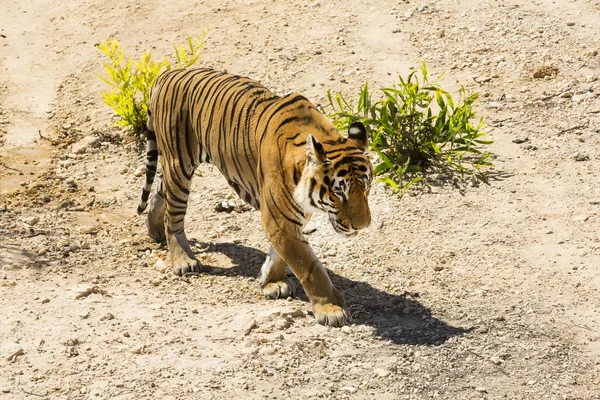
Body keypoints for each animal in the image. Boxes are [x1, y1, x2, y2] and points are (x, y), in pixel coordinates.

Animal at [138, 67, 372, 326]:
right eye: (339, 191)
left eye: (366, 187)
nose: (363, 226)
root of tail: (166, 73)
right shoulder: (278, 218)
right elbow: (309, 266)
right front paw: (331, 309)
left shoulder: (289, 217)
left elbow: (280, 254)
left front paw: (272, 282)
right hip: (179, 163)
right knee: (174, 215)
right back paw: (183, 260)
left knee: (161, 189)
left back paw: (154, 229)